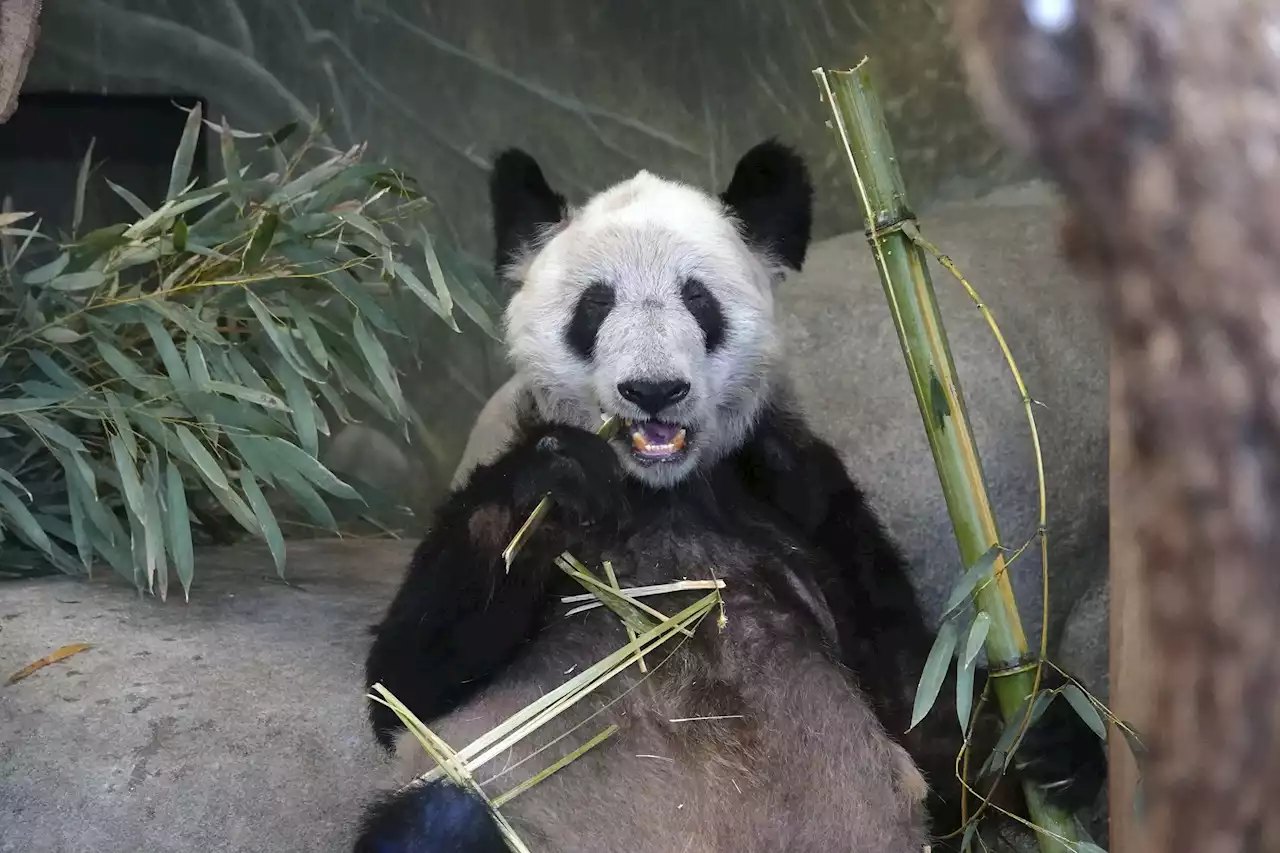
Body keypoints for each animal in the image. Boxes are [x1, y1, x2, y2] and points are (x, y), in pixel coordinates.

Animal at [355, 142, 1105, 845]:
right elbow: (406, 682)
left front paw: (1054, 731)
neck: (660, 490)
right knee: (440, 818)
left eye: (697, 298)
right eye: (596, 303)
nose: (653, 389)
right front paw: (555, 484)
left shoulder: (800, 499)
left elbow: (923, 708)